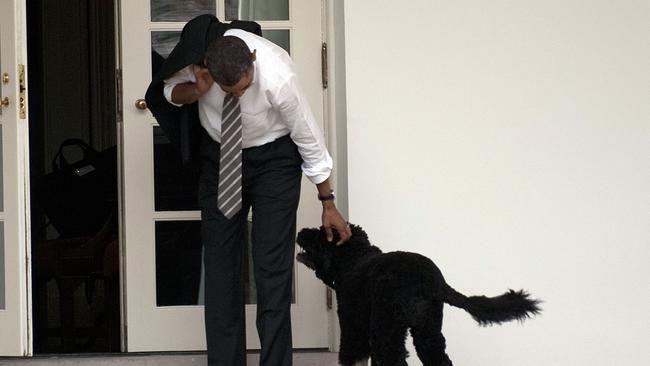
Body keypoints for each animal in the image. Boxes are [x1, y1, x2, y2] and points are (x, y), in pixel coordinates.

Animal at [296, 224, 540, 364]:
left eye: (319, 233)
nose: (300, 232)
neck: (353, 257)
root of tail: (432, 283)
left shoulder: (351, 325)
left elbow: (350, 355)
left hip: (386, 331)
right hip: (428, 330)